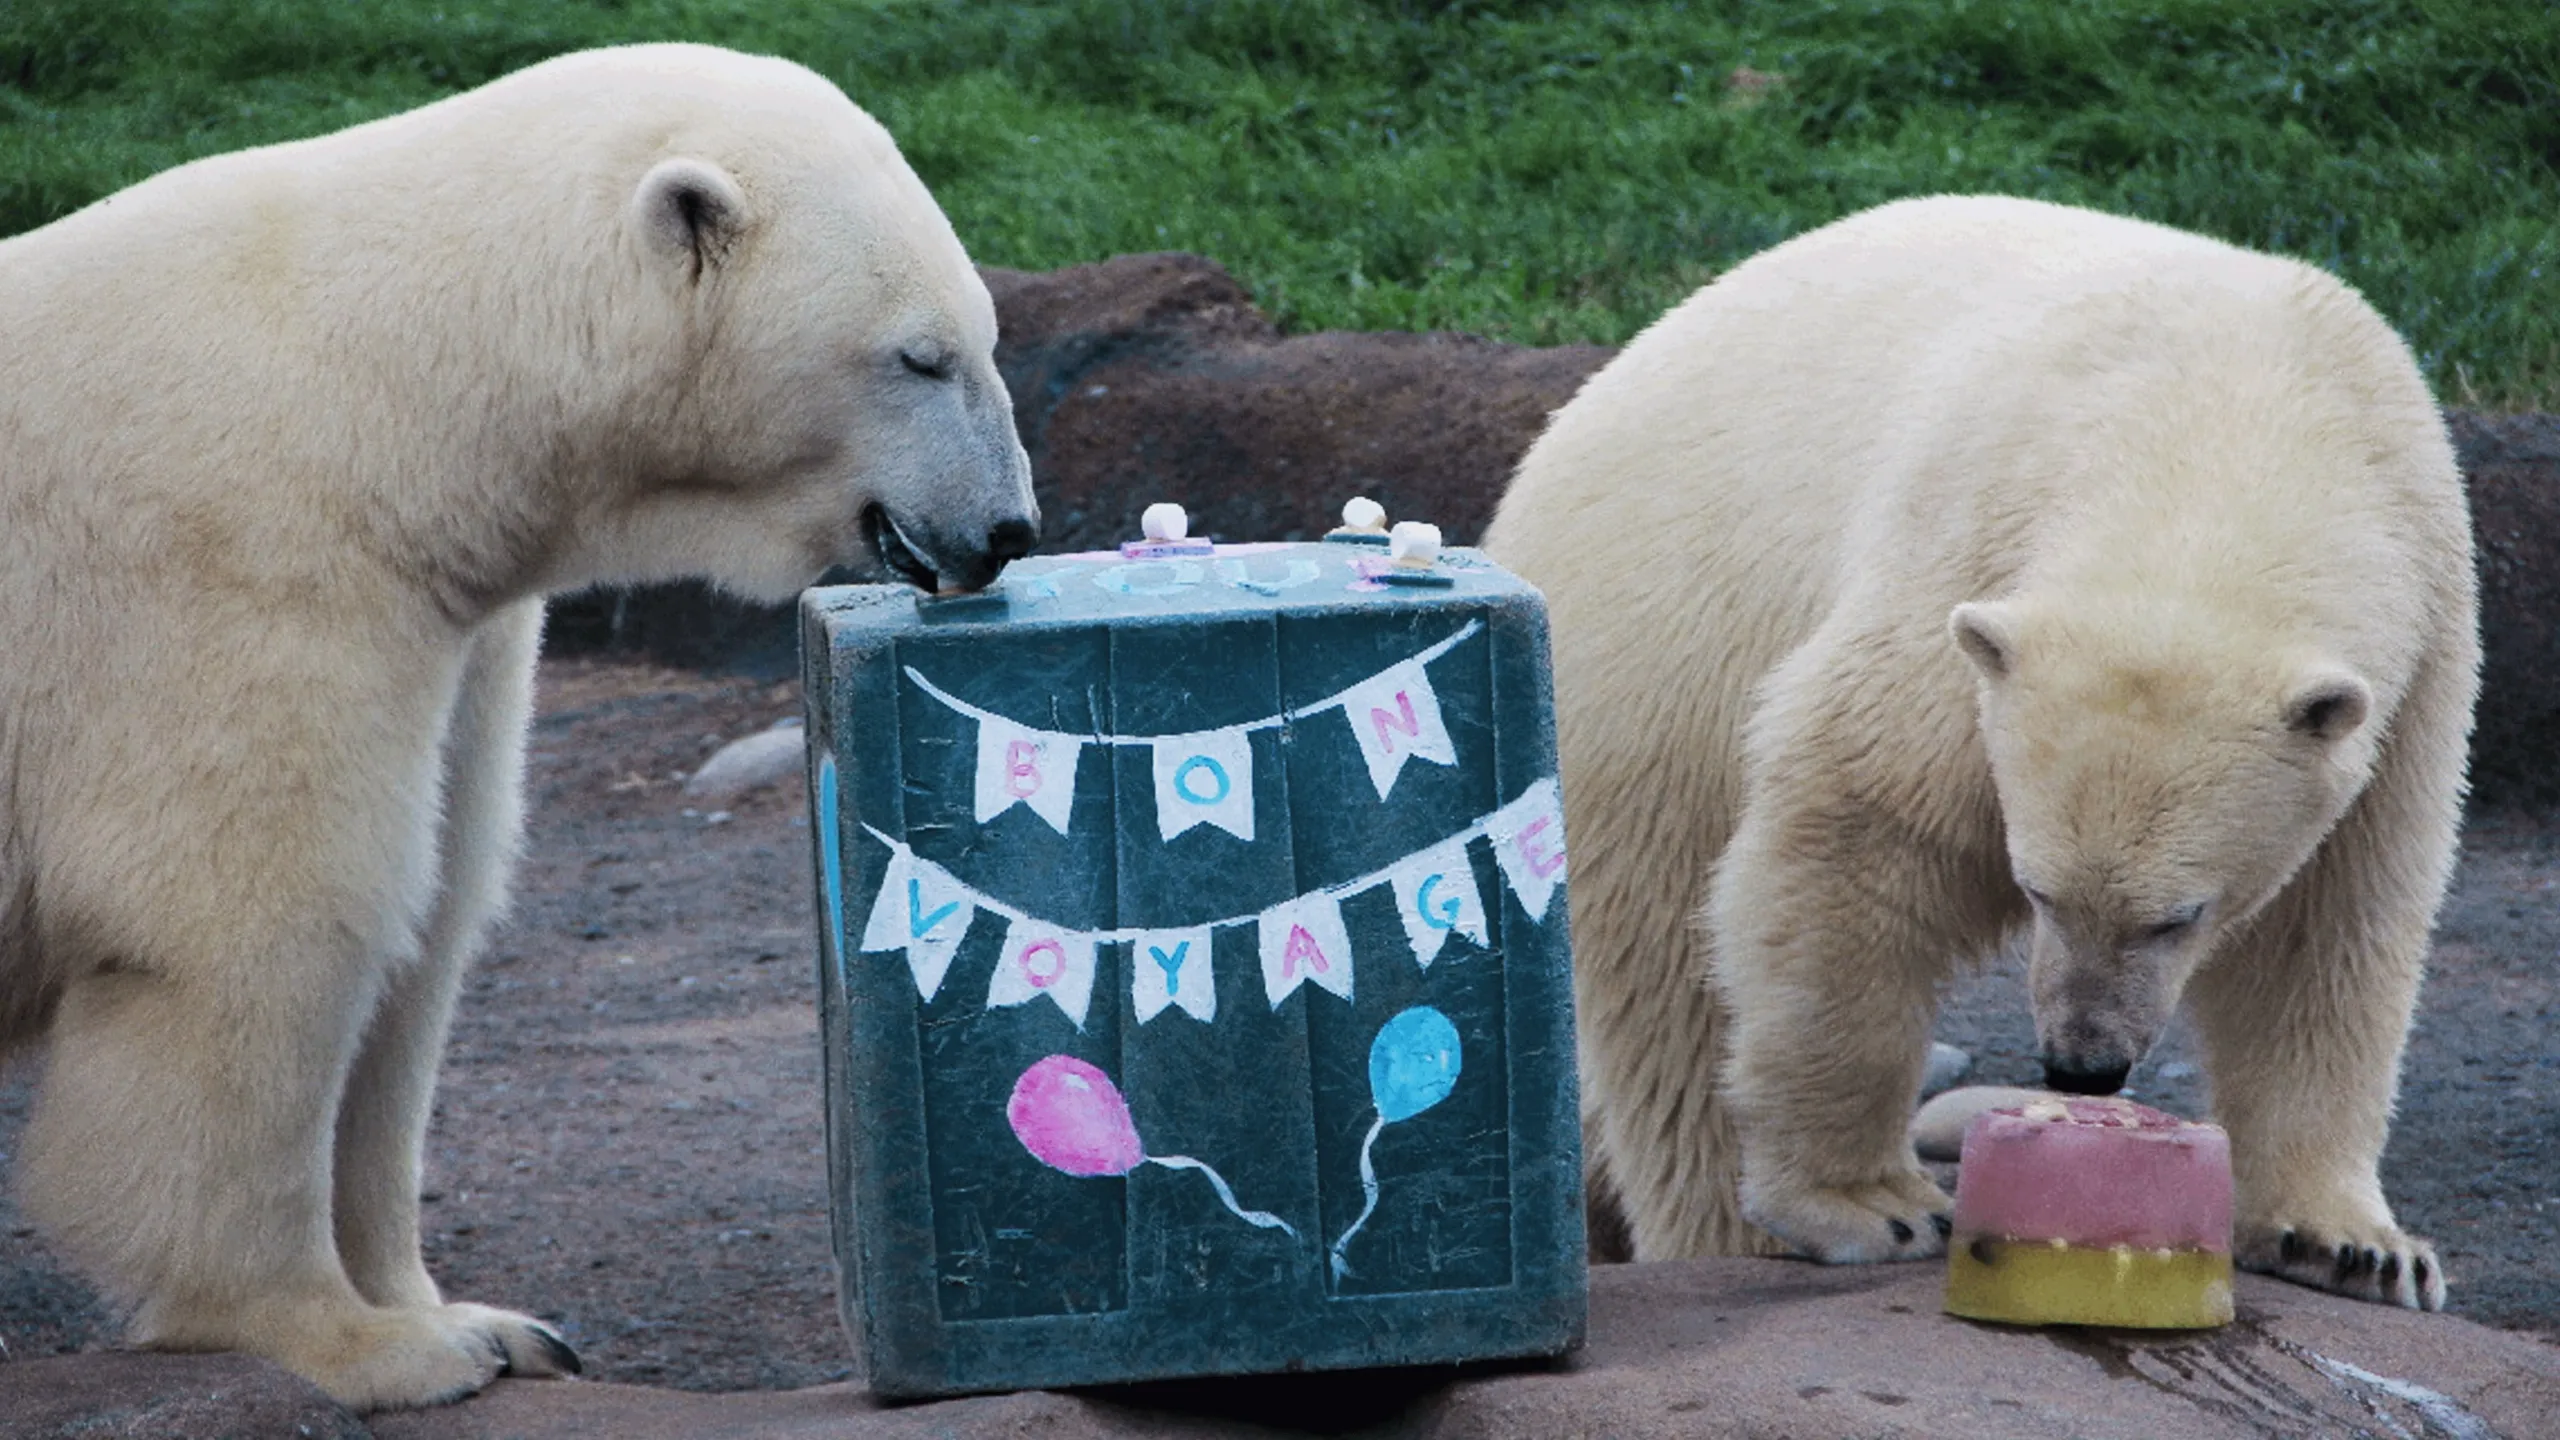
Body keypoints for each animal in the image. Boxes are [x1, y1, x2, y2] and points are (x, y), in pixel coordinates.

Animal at [0, 43, 1038, 1409]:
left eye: (985, 337)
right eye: (920, 358)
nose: (1008, 530)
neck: (373, 394)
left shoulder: (456, 632)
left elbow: (428, 919)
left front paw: (483, 1322)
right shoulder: (235, 576)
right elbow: (257, 929)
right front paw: (361, 1345)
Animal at [1482, 194, 2473, 1311]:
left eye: (2179, 916)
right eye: (2036, 888)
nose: (2083, 1064)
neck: (2234, 422)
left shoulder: (2416, 664)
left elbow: (2329, 929)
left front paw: (2352, 1245)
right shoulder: (1970, 569)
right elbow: (1861, 822)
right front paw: (1871, 1204)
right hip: (1646, 675)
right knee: (1670, 979)